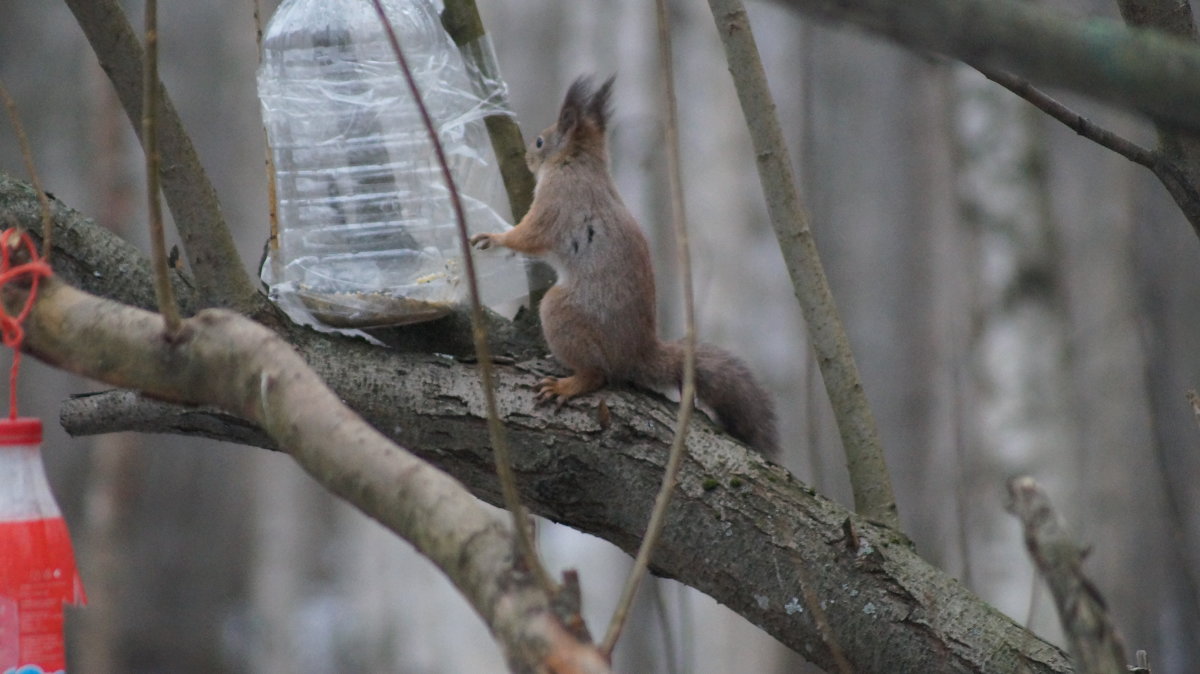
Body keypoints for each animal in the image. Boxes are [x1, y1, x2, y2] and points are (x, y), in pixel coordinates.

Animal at [468, 77, 777, 455]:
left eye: (541, 141)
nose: (528, 158)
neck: (579, 163)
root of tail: (637, 353)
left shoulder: (556, 201)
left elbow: (528, 235)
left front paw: (494, 238)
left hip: (562, 313)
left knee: (599, 374)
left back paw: (568, 384)